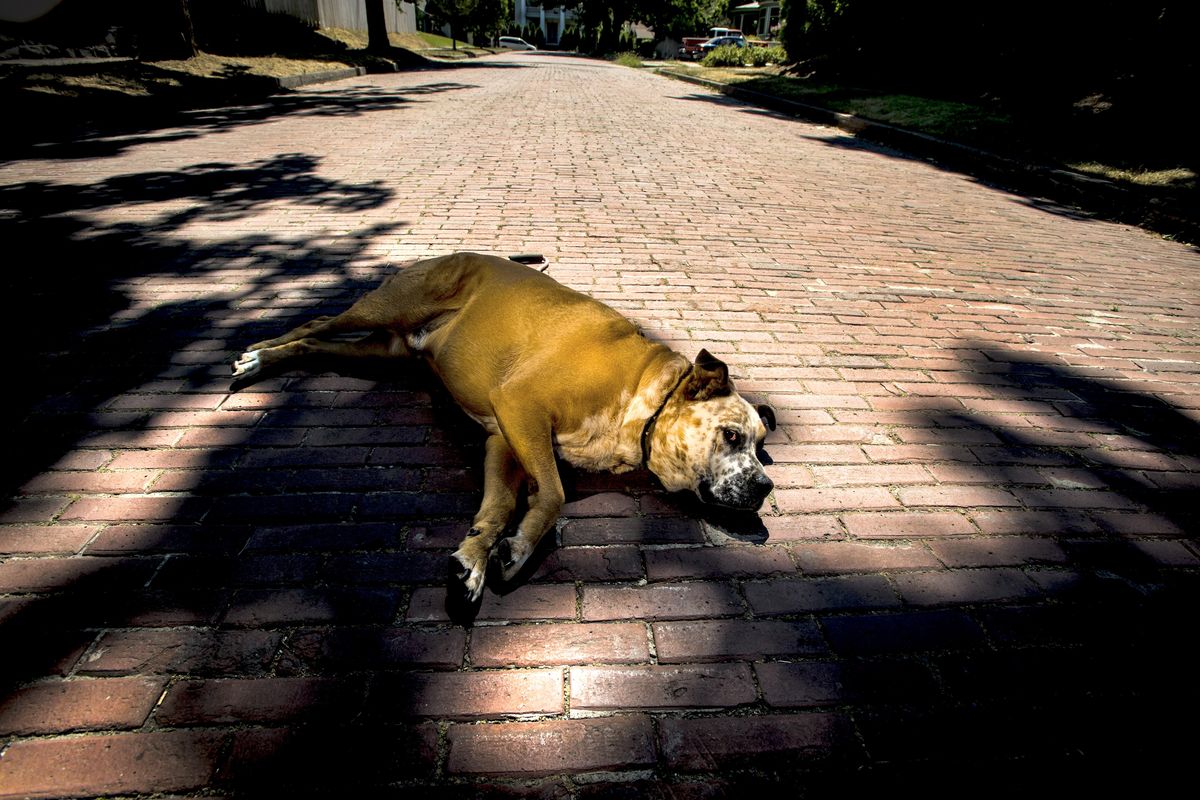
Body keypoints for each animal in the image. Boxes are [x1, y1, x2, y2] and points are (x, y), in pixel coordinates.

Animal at [234, 253, 777, 604]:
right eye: (731, 436)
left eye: (761, 448)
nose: (766, 486)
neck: (645, 393)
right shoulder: (520, 408)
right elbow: (554, 494)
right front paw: (518, 548)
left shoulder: (505, 440)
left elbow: (496, 507)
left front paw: (475, 555)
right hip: (389, 306)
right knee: (315, 324)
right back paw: (256, 355)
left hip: (383, 352)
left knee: (317, 345)